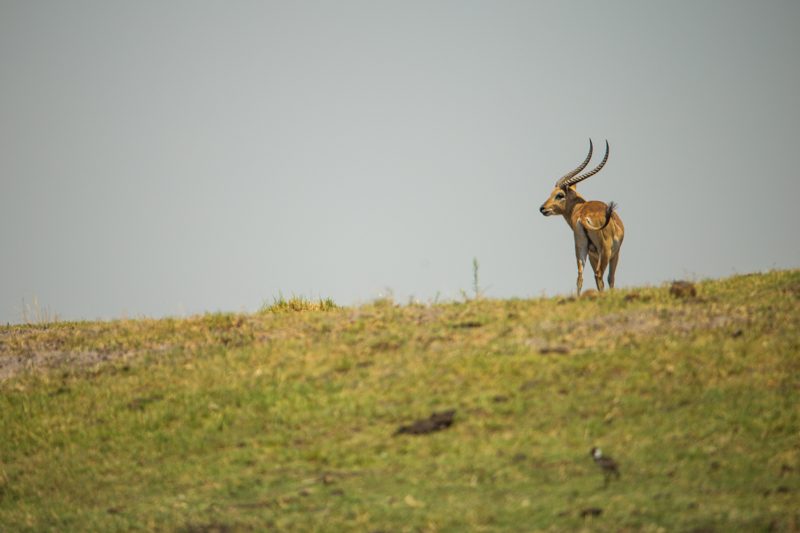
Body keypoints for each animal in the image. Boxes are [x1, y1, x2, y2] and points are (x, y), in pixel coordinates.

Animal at [536, 139, 624, 298]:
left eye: (559, 194)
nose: (542, 208)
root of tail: (583, 217)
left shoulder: (592, 254)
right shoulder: (614, 253)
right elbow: (611, 278)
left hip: (581, 247)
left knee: (580, 276)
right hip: (605, 251)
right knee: (599, 275)